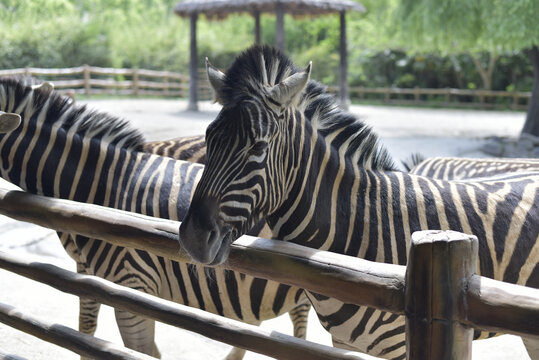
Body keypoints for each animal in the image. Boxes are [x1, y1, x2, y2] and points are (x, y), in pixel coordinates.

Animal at [178, 45, 539, 360]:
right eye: (208, 139)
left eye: (258, 147)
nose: (193, 237)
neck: (358, 219)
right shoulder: (344, 342)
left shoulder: (401, 345)